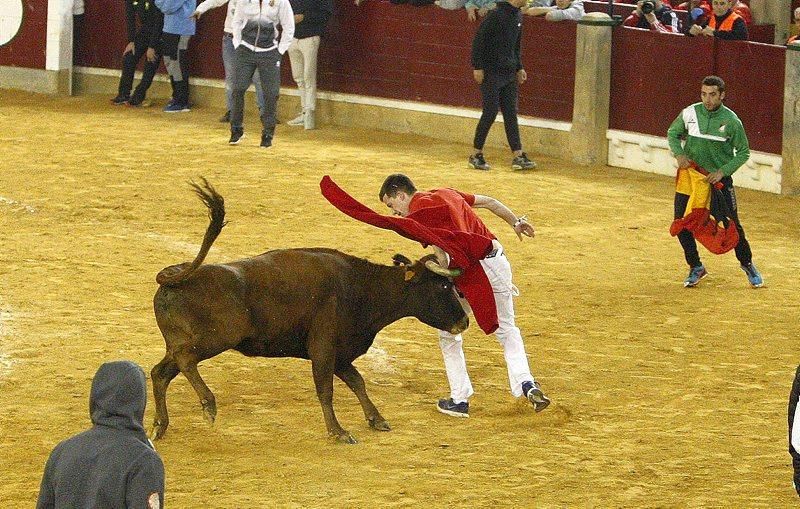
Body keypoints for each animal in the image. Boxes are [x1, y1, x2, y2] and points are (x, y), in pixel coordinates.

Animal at [150, 181, 468, 442]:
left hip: (179, 342)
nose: (464, 321)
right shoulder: (324, 349)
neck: (360, 287)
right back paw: (208, 404)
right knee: (186, 359)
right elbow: (326, 389)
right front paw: (338, 431)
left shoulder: (341, 353)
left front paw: (376, 419)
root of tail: (177, 275)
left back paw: (159, 426)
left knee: (160, 373)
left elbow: (357, 382)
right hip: (217, 338)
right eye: (443, 286)